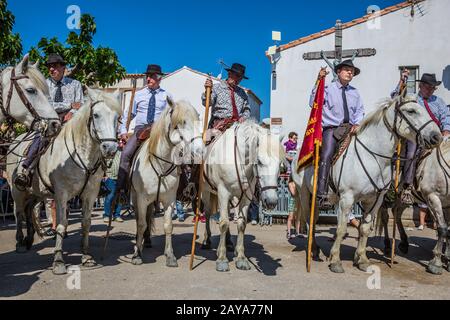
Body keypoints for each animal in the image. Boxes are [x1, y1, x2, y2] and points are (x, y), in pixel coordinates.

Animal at [7, 88, 120, 276]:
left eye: (117, 117)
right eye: (96, 115)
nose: (110, 149)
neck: (81, 154)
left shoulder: (90, 194)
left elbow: (86, 223)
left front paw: (86, 256)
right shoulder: (62, 195)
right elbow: (61, 225)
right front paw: (59, 261)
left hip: (36, 192)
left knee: (30, 211)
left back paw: (29, 239)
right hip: (17, 191)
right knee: (19, 213)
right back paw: (20, 242)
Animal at [128, 99, 202, 266]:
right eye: (182, 122)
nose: (200, 150)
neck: (160, 164)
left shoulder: (169, 200)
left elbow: (168, 226)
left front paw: (170, 256)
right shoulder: (141, 199)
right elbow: (141, 224)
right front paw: (136, 255)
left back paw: (147, 241)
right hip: (136, 197)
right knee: (140, 220)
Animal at [201, 121, 282, 272]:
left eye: (280, 164)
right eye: (260, 161)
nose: (271, 201)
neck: (239, 161)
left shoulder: (245, 197)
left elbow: (241, 224)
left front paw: (241, 258)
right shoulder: (223, 192)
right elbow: (223, 223)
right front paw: (222, 259)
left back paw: (228, 243)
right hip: (206, 192)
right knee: (208, 213)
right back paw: (206, 241)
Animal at [292, 95, 442, 272]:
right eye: (411, 111)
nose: (437, 137)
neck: (373, 156)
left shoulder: (374, 200)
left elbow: (364, 229)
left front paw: (362, 259)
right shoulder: (347, 198)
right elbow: (341, 229)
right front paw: (335, 261)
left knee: (314, 220)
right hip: (304, 193)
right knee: (310, 220)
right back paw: (314, 250)